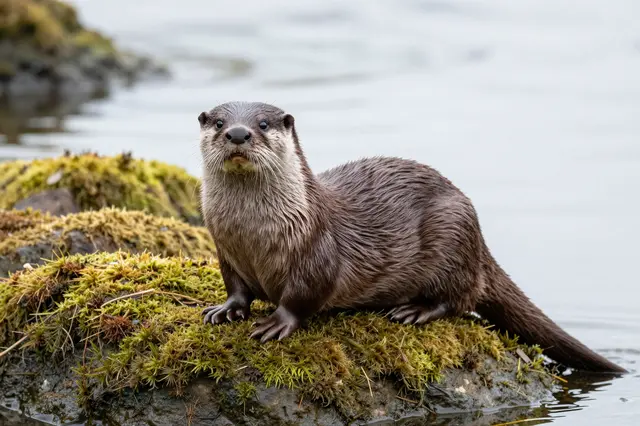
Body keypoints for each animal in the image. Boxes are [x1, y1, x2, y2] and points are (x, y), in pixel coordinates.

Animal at [198, 101, 626, 373]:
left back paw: (415, 311)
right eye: (218, 122)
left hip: (452, 236)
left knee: (461, 299)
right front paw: (226, 309)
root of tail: (479, 237)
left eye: (263, 124)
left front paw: (277, 321)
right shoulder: (225, 250)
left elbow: (304, 295)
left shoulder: (317, 250)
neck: (253, 235)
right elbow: (236, 287)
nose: (238, 132)